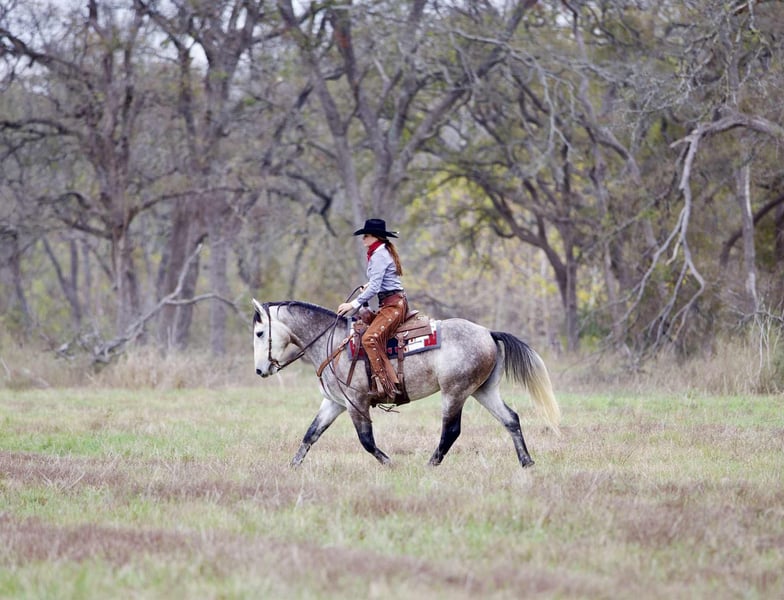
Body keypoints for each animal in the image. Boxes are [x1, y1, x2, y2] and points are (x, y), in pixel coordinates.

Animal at [252, 299, 560, 468]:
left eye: (259, 332)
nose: (260, 370)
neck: (334, 342)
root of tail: (488, 332)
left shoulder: (356, 403)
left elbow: (366, 441)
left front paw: (391, 464)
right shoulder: (334, 403)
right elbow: (310, 434)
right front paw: (292, 466)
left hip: (455, 393)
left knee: (451, 431)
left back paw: (430, 465)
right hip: (483, 391)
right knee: (511, 419)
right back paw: (526, 462)